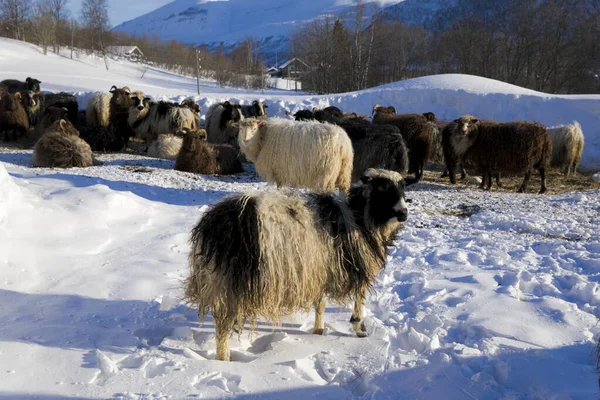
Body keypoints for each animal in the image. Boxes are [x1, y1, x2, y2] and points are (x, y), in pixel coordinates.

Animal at [183, 167, 408, 360]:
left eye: (402, 188)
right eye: (382, 189)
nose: (404, 213)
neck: (359, 218)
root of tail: (212, 226)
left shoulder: (318, 269)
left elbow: (320, 303)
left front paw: (318, 330)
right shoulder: (357, 269)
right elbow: (359, 300)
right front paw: (359, 329)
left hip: (221, 280)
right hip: (230, 282)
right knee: (222, 327)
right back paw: (224, 359)